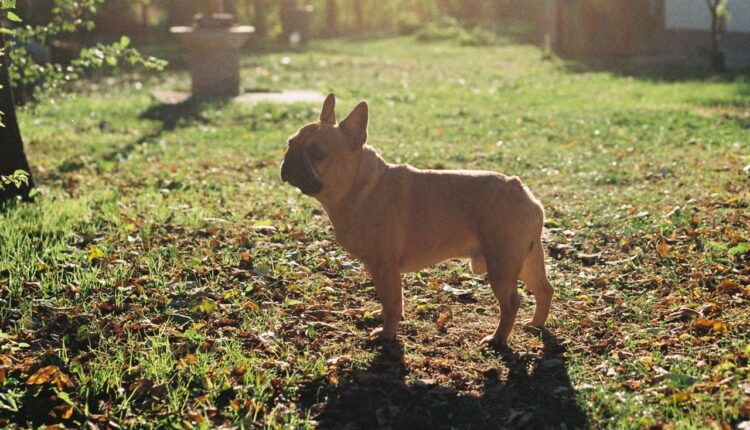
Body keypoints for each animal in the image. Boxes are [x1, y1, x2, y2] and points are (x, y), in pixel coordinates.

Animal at [280, 94, 556, 346]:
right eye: (290, 142)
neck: (362, 186)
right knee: (544, 289)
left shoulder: (385, 266)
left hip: (501, 265)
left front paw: (386, 334)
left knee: (511, 303)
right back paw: (535, 324)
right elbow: (390, 300)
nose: (290, 158)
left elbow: (392, 301)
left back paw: (497, 339)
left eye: (318, 153)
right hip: (526, 260)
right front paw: (382, 317)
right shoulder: (380, 269)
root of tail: (525, 192)